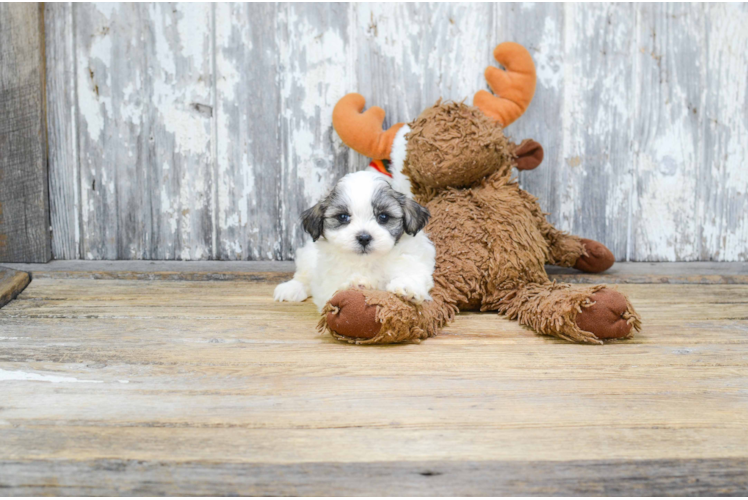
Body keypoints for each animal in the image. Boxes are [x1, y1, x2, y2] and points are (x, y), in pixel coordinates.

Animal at [274, 172, 436, 312]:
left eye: (383, 217)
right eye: (343, 217)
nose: (364, 237)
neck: (367, 261)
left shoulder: (411, 259)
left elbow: (412, 273)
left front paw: (406, 286)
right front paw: (359, 285)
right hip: (308, 257)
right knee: (304, 277)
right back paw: (291, 288)